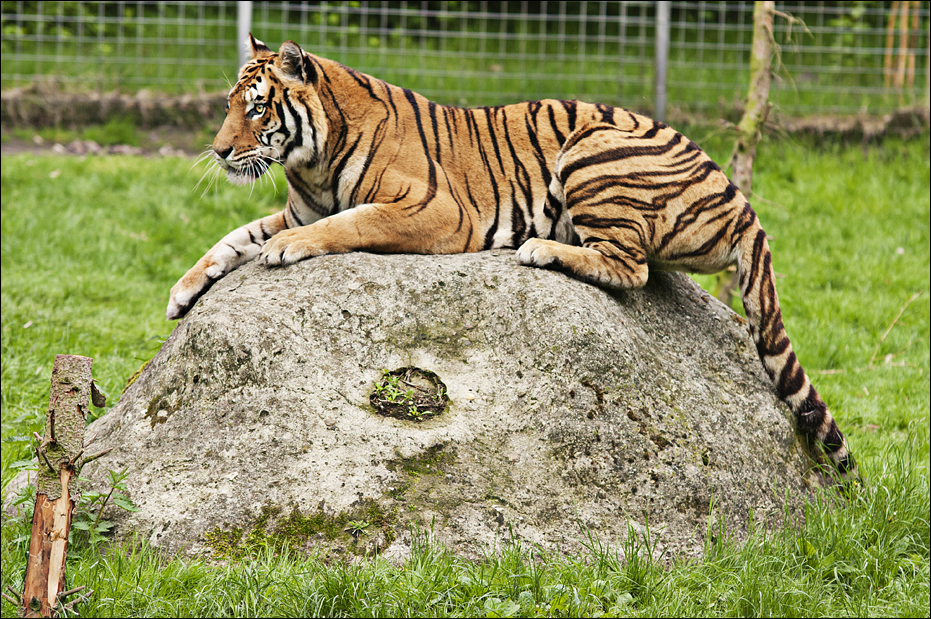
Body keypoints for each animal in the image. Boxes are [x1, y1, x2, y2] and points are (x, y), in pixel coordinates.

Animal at [167, 35, 855, 479]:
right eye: (228, 106)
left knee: (630, 267)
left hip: (593, 147)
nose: (219, 150)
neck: (309, 161)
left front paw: (285, 251)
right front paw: (182, 292)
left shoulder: (432, 211)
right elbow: (232, 238)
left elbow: (346, 223)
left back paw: (542, 249)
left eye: (256, 106)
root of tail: (741, 199)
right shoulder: (297, 208)